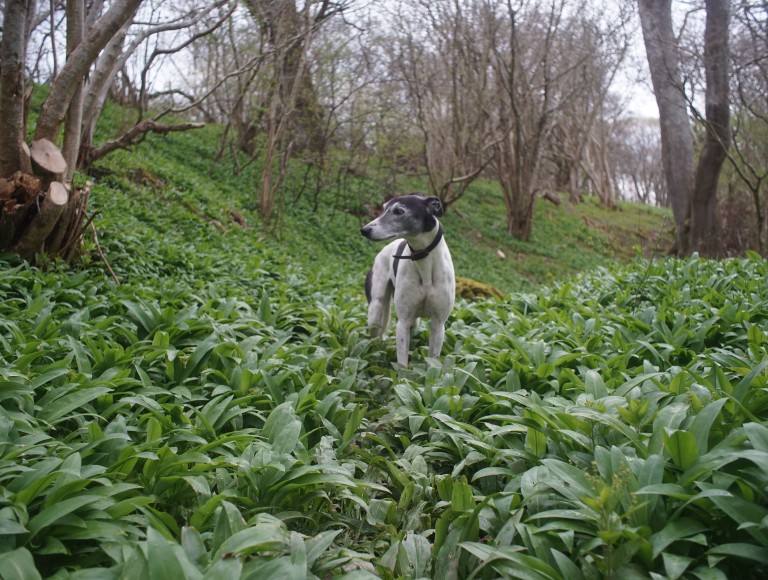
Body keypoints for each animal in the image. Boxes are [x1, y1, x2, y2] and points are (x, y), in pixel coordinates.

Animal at [362, 195, 452, 368]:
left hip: (414, 322)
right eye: (383, 208)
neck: (424, 264)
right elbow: (402, 364)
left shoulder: (438, 324)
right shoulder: (402, 322)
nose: (364, 230)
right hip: (376, 311)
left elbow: (433, 361)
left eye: (399, 211)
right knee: (375, 338)